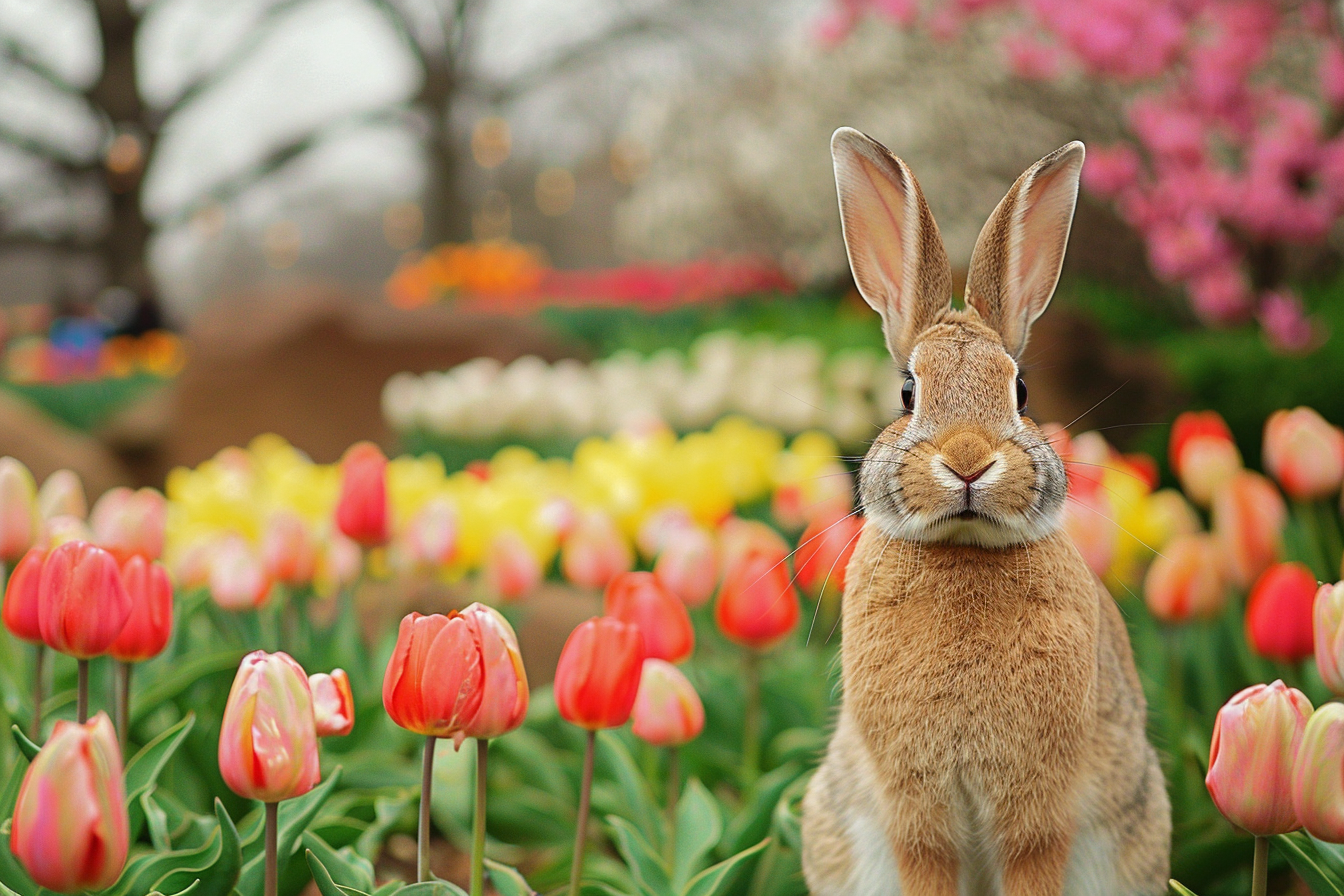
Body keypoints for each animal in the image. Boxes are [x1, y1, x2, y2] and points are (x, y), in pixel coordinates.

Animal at [800, 129, 1171, 896]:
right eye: (908, 391)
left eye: (1021, 389)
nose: (968, 461)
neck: (965, 547)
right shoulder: (915, 808)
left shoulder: (1039, 808)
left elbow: (1032, 861)